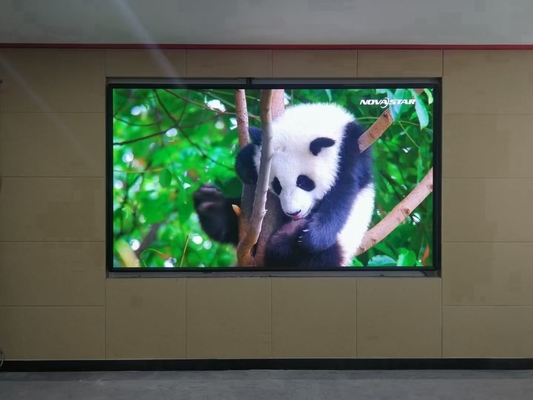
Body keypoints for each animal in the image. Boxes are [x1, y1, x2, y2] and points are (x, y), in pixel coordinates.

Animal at [192, 101, 374, 268]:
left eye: (303, 182)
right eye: (277, 185)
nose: (294, 212)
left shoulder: (352, 155)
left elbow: (341, 198)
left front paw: (313, 237)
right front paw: (246, 168)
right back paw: (209, 204)